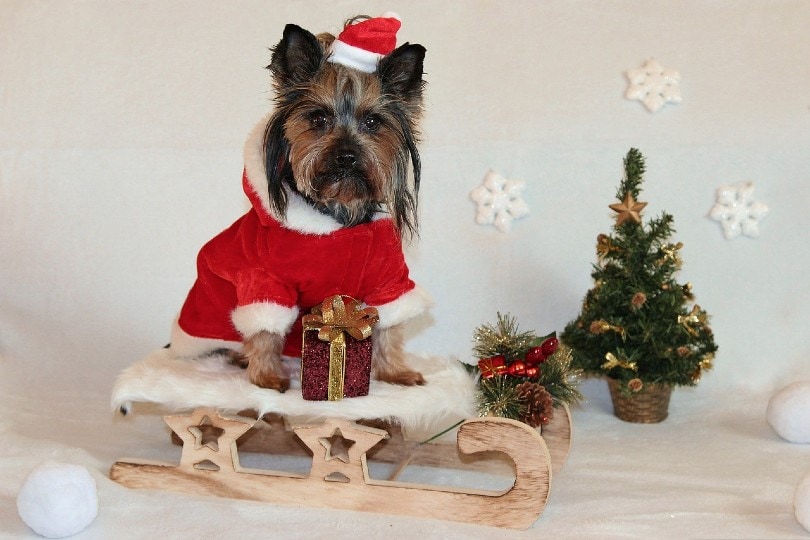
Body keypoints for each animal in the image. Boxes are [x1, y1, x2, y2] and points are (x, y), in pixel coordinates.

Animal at [166, 14, 430, 390]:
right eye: (318, 118)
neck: (337, 216)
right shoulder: (264, 279)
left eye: (372, 121)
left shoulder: (388, 279)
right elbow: (264, 329)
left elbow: (391, 326)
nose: (346, 156)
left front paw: (394, 371)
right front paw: (266, 376)